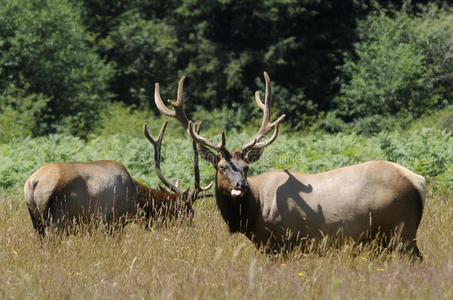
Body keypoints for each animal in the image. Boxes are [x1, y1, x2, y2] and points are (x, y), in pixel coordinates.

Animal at [23, 120, 210, 237]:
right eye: (188, 212)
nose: (193, 231)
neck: (137, 201)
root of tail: (33, 182)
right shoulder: (113, 222)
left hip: (36, 221)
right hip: (56, 221)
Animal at [154, 72, 426, 258]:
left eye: (246, 167)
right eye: (222, 167)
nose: (240, 186)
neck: (253, 211)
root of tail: (418, 181)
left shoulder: (281, 242)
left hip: (400, 229)